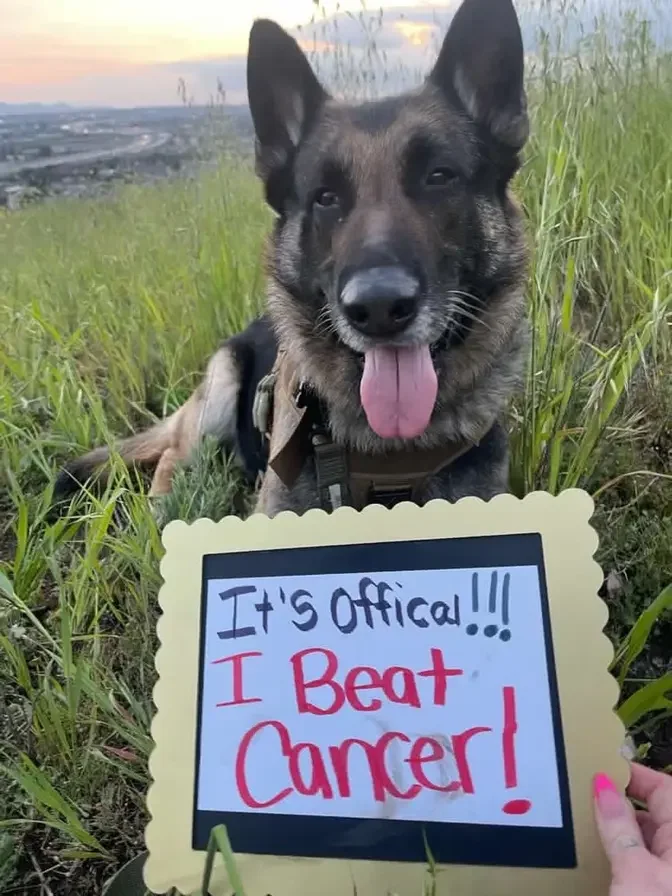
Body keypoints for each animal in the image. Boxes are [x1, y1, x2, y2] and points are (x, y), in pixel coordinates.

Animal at [55, 0, 532, 520]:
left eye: (439, 176)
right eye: (325, 198)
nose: (378, 308)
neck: (391, 454)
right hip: (217, 395)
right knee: (171, 459)